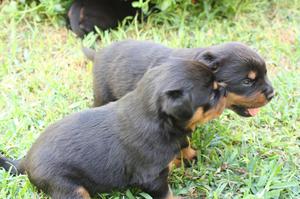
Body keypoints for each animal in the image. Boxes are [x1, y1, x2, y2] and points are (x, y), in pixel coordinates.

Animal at [0, 59, 225, 199]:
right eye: (212, 95)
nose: (224, 88)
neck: (162, 124)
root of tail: (25, 161)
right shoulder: (152, 179)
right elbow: (166, 193)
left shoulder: (179, 137)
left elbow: (184, 144)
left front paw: (190, 155)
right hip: (69, 188)